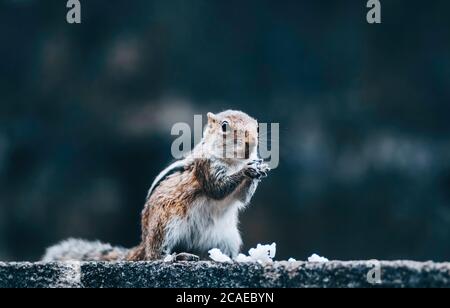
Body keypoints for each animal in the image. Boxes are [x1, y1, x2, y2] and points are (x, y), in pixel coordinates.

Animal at [42, 109, 268, 262]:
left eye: (257, 127)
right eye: (224, 126)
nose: (250, 144)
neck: (232, 161)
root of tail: (143, 243)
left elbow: (242, 198)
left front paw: (258, 168)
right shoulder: (206, 169)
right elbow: (219, 189)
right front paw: (247, 170)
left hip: (227, 238)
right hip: (164, 223)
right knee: (154, 255)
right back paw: (176, 257)